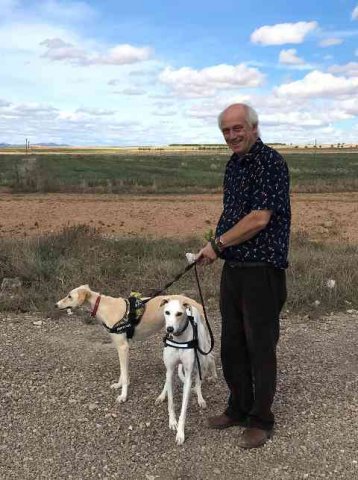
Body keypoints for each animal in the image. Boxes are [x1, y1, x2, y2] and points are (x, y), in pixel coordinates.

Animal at [54, 284, 203, 404]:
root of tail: (196, 303)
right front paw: (119, 385)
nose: (55, 305)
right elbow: (123, 371)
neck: (103, 306)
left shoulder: (123, 347)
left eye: (69, 296)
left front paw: (123, 395)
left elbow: (125, 375)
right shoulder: (122, 346)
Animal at [156, 298, 215, 444]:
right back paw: (162, 395)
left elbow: (184, 408)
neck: (179, 338)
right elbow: (171, 402)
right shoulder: (170, 370)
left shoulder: (188, 376)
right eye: (167, 312)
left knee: (199, 380)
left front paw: (180, 433)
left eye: (179, 313)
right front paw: (172, 422)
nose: (170, 329)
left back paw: (200, 398)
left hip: (202, 357)